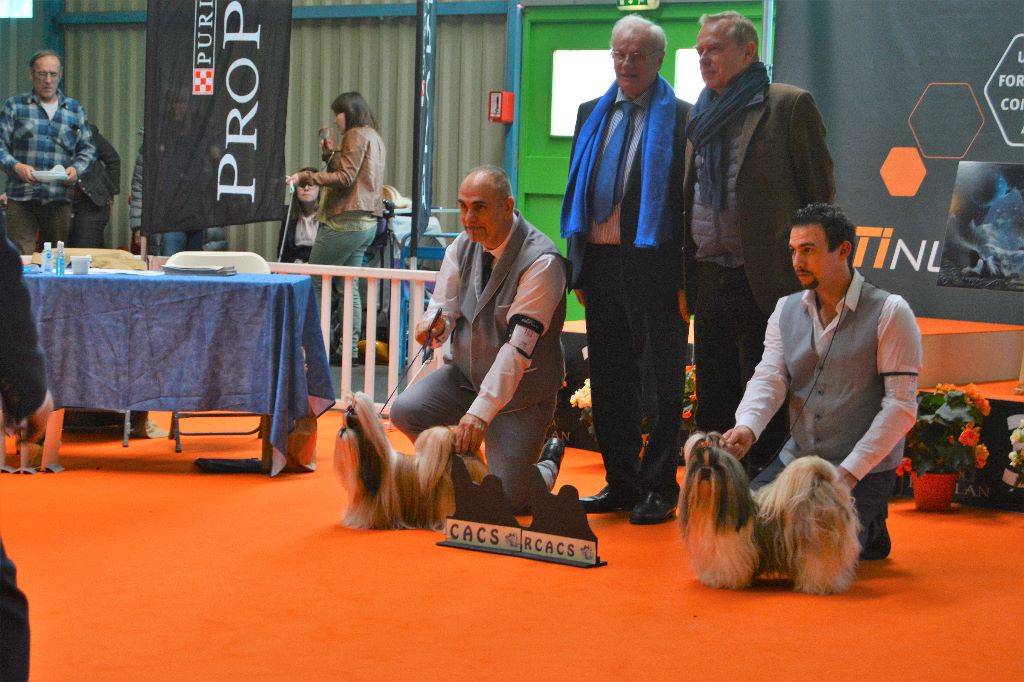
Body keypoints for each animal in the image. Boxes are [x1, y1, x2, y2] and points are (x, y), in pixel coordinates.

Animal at [679, 432, 864, 593]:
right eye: (697, 464)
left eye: (717, 466)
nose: (705, 471)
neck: (711, 507)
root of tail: (822, 485)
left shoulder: (730, 551)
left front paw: (725, 581)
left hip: (817, 545)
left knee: (820, 565)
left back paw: (817, 586)